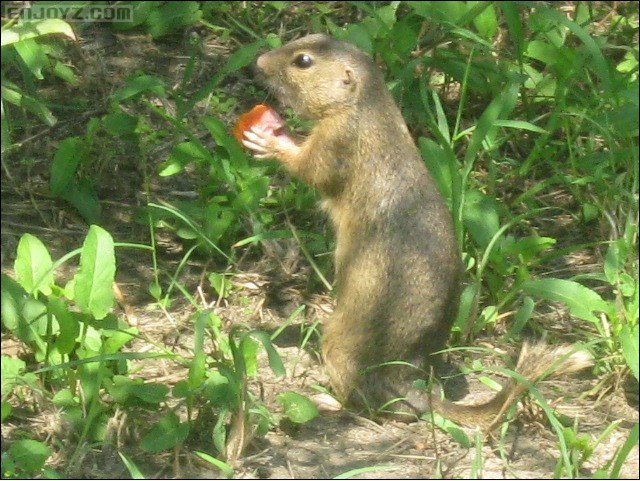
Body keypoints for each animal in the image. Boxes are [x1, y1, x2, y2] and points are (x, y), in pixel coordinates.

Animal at [240, 31, 592, 426]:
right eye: (311, 37)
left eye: (303, 61)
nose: (257, 61)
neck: (366, 107)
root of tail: (415, 385)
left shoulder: (337, 139)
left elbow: (311, 168)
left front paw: (269, 139)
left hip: (339, 342)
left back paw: (327, 401)